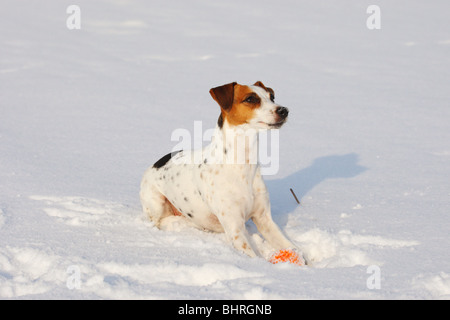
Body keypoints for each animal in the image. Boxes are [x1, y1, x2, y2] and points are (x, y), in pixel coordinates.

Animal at [139, 81, 304, 264]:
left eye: (272, 97)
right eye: (250, 99)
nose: (284, 110)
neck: (242, 166)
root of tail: (157, 162)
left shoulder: (264, 220)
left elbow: (290, 245)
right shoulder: (235, 228)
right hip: (156, 203)